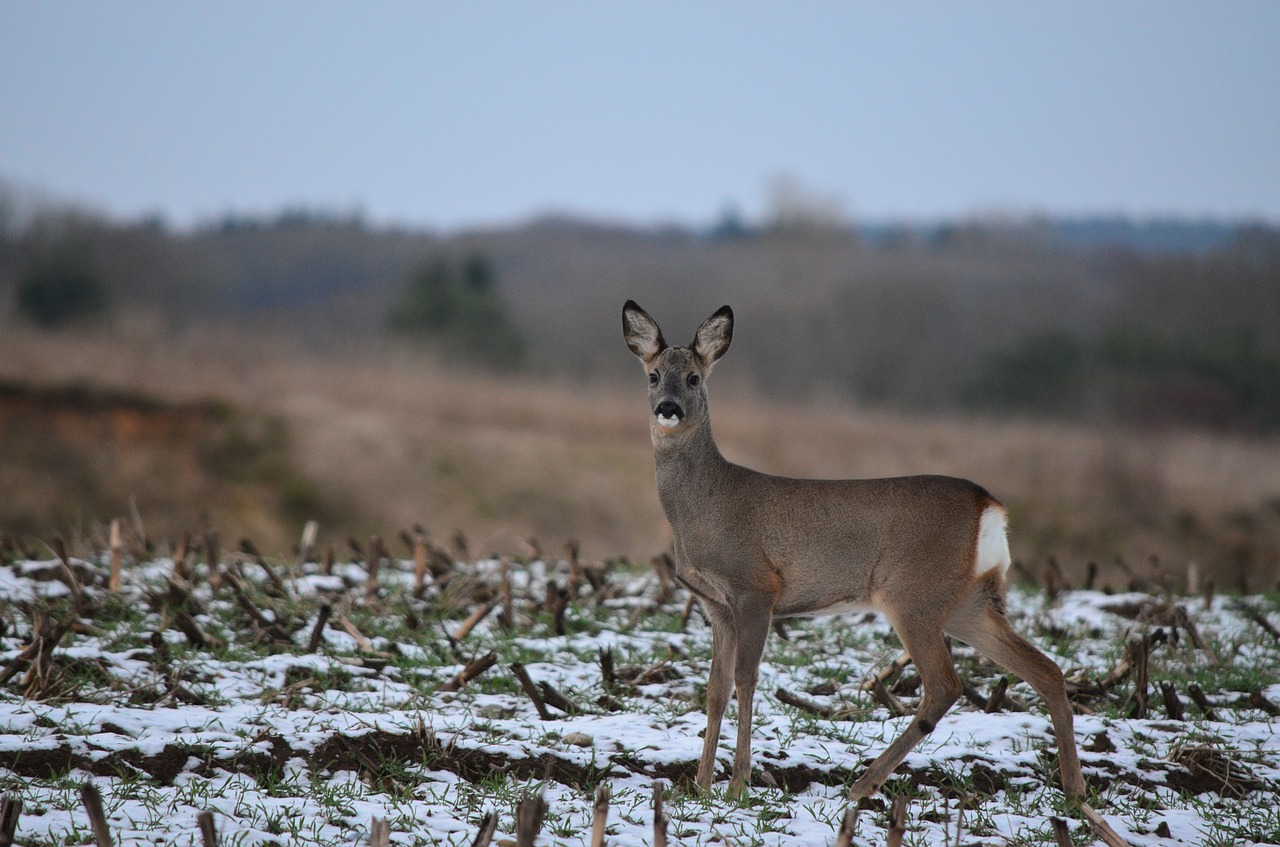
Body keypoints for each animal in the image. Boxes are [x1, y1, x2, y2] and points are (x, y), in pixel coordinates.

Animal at [619, 300, 1080, 803]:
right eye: (653, 375)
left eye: (694, 378)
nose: (667, 409)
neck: (705, 506)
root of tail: (990, 506)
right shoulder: (714, 603)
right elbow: (715, 687)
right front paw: (700, 785)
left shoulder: (756, 586)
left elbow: (746, 678)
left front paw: (738, 783)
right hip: (968, 601)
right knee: (1046, 669)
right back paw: (1075, 790)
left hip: (912, 593)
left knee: (945, 684)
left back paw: (863, 784)